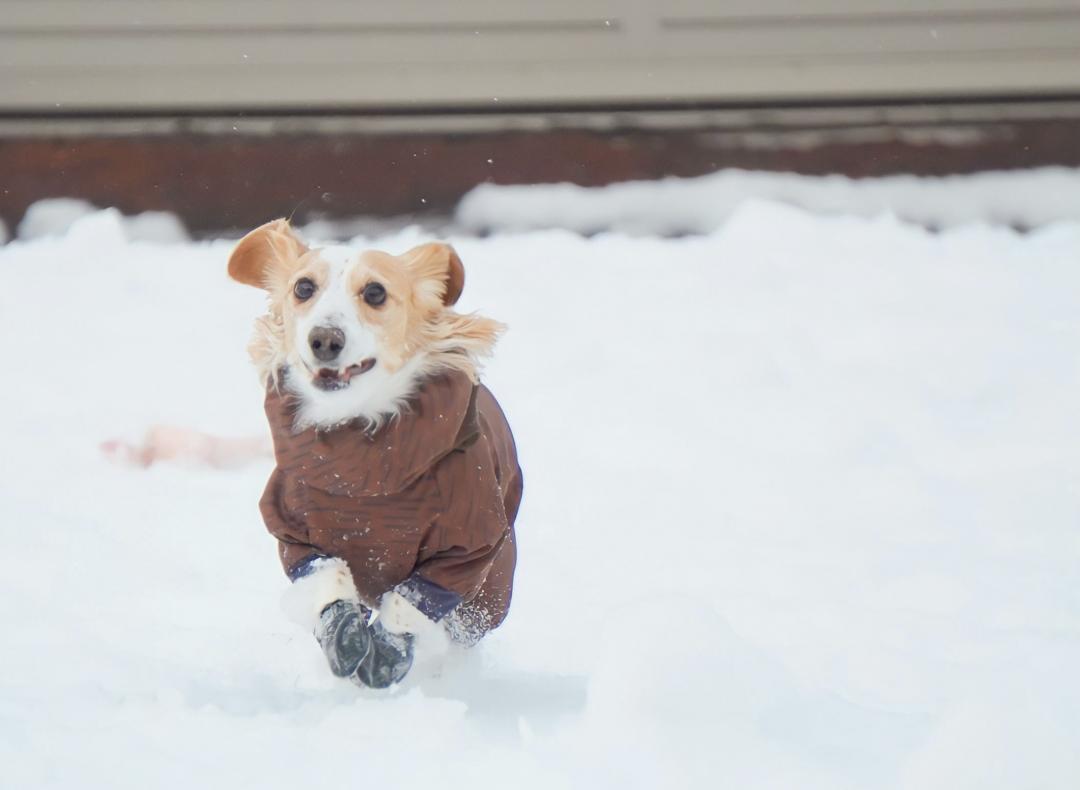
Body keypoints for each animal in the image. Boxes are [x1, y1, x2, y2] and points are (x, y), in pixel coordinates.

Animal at [225, 219, 520, 687]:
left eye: (376, 292)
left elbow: (411, 600)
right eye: (303, 287)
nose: (325, 340)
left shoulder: (468, 542)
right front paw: (343, 636)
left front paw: (387, 651)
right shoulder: (293, 531)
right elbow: (329, 580)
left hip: (492, 589)